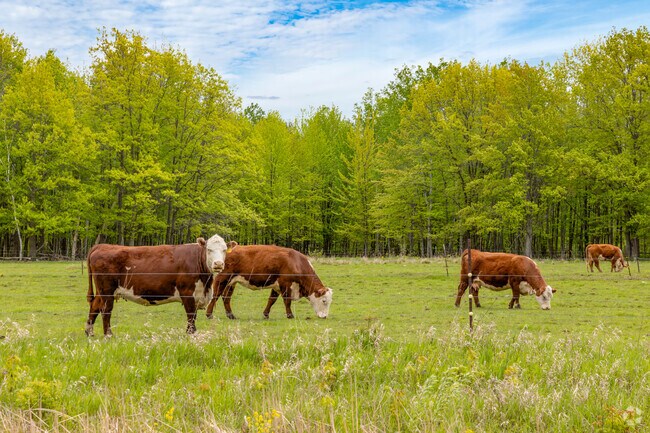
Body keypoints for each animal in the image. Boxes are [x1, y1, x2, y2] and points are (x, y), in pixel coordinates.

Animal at [85, 234, 229, 336]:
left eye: (224, 250)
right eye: (209, 249)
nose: (218, 264)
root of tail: (102, 246)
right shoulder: (187, 292)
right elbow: (191, 315)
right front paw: (191, 334)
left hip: (102, 291)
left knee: (95, 306)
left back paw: (90, 332)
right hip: (106, 290)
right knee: (105, 310)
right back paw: (108, 335)